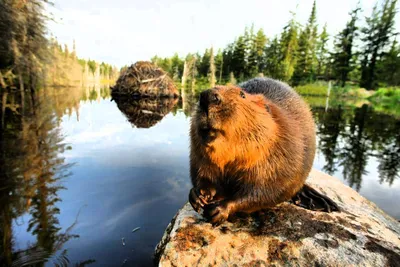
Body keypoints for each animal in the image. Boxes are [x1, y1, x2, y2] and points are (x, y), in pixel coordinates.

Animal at [189, 78, 340, 226]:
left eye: (242, 95)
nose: (208, 96)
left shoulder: (282, 154)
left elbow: (267, 191)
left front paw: (219, 210)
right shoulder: (199, 155)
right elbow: (203, 175)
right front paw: (198, 196)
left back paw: (319, 202)